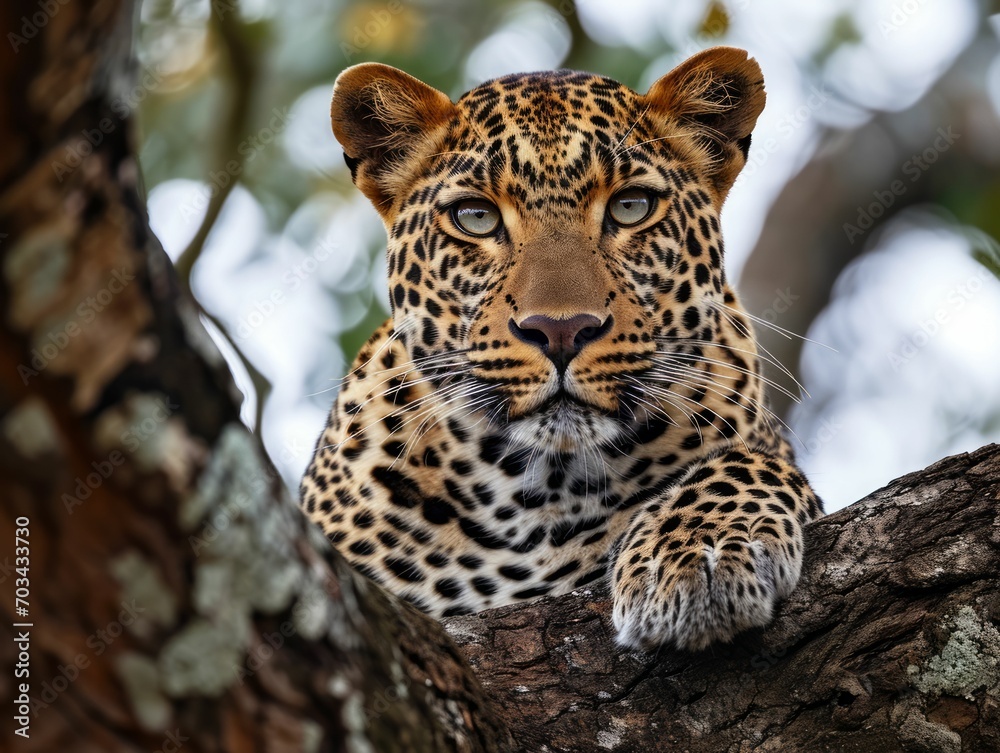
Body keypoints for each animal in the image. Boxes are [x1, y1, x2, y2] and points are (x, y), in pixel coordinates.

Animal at [300, 46, 823, 652]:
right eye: (475, 217)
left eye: (631, 206)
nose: (560, 331)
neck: (532, 495)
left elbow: (744, 462)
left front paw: (698, 555)